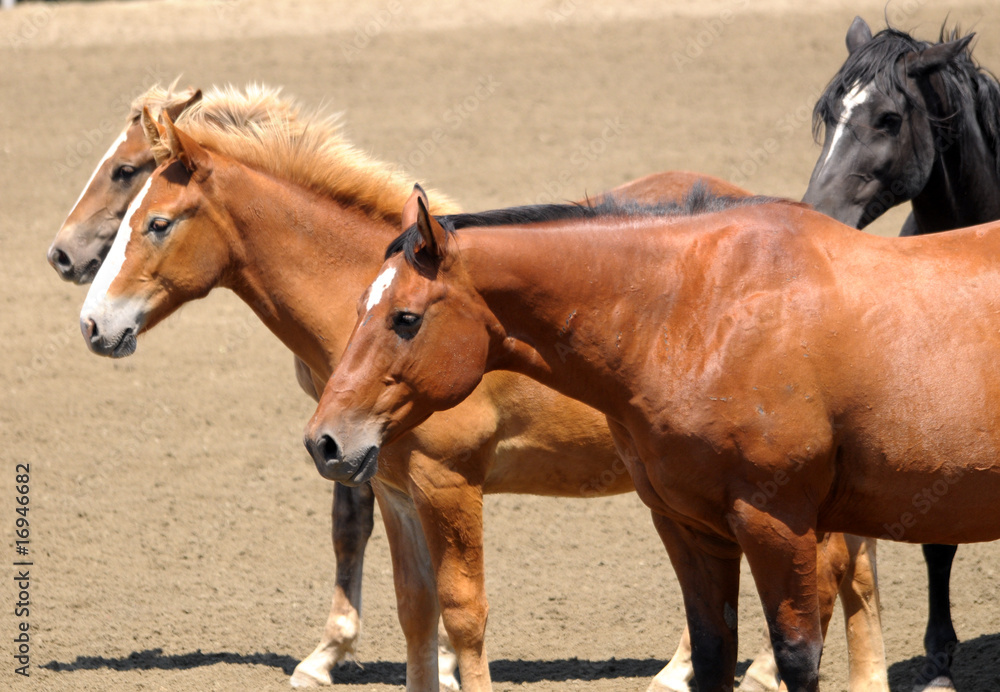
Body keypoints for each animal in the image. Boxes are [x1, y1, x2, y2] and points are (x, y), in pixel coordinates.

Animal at [72, 92, 885, 690]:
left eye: (155, 219)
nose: (92, 321)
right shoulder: (393, 487)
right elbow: (414, 609)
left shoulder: (449, 484)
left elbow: (463, 615)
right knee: (849, 571)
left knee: (827, 578)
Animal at [306, 185, 1000, 692]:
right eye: (361, 308)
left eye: (405, 319)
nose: (325, 441)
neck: (699, 316)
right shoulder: (689, 524)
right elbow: (714, 653)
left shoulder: (779, 524)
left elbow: (798, 657)